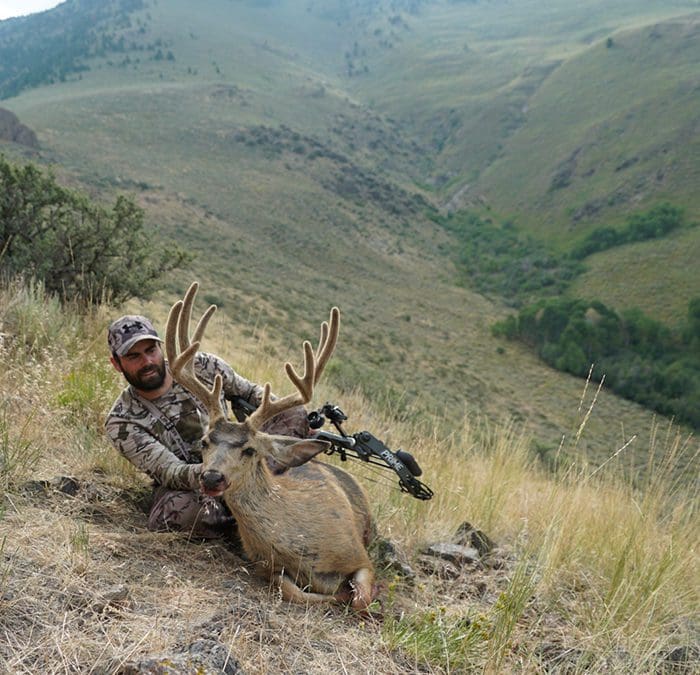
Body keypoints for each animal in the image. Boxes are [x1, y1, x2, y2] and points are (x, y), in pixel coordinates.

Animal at [165, 282, 376, 610]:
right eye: (204, 441)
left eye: (250, 449)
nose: (212, 477)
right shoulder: (265, 566)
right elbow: (290, 590)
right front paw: (334, 594)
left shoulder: (361, 557)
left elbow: (361, 599)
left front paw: (344, 593)